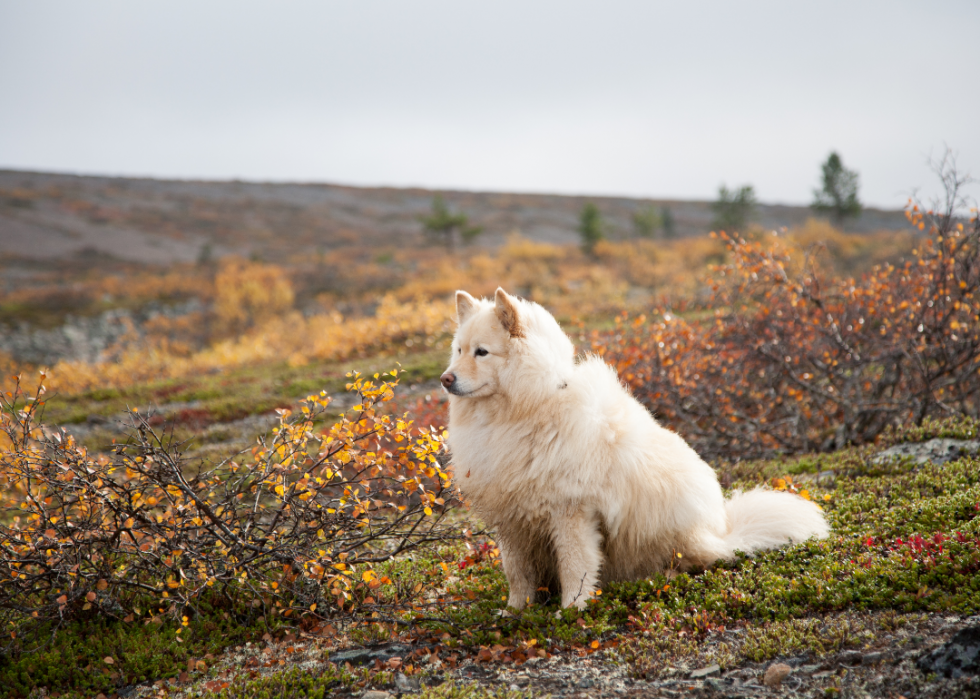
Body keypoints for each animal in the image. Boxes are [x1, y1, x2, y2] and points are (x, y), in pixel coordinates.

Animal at [440, 288, 832, 608]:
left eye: (482, 352)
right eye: (458, 350)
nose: (445, 379)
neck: (525, 410)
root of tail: (722, 533)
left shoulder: (571, 512)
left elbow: (575, 566)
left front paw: (573, 610)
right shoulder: (511, 519)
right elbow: (516, 572)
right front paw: (515, 612)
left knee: (691, 562)